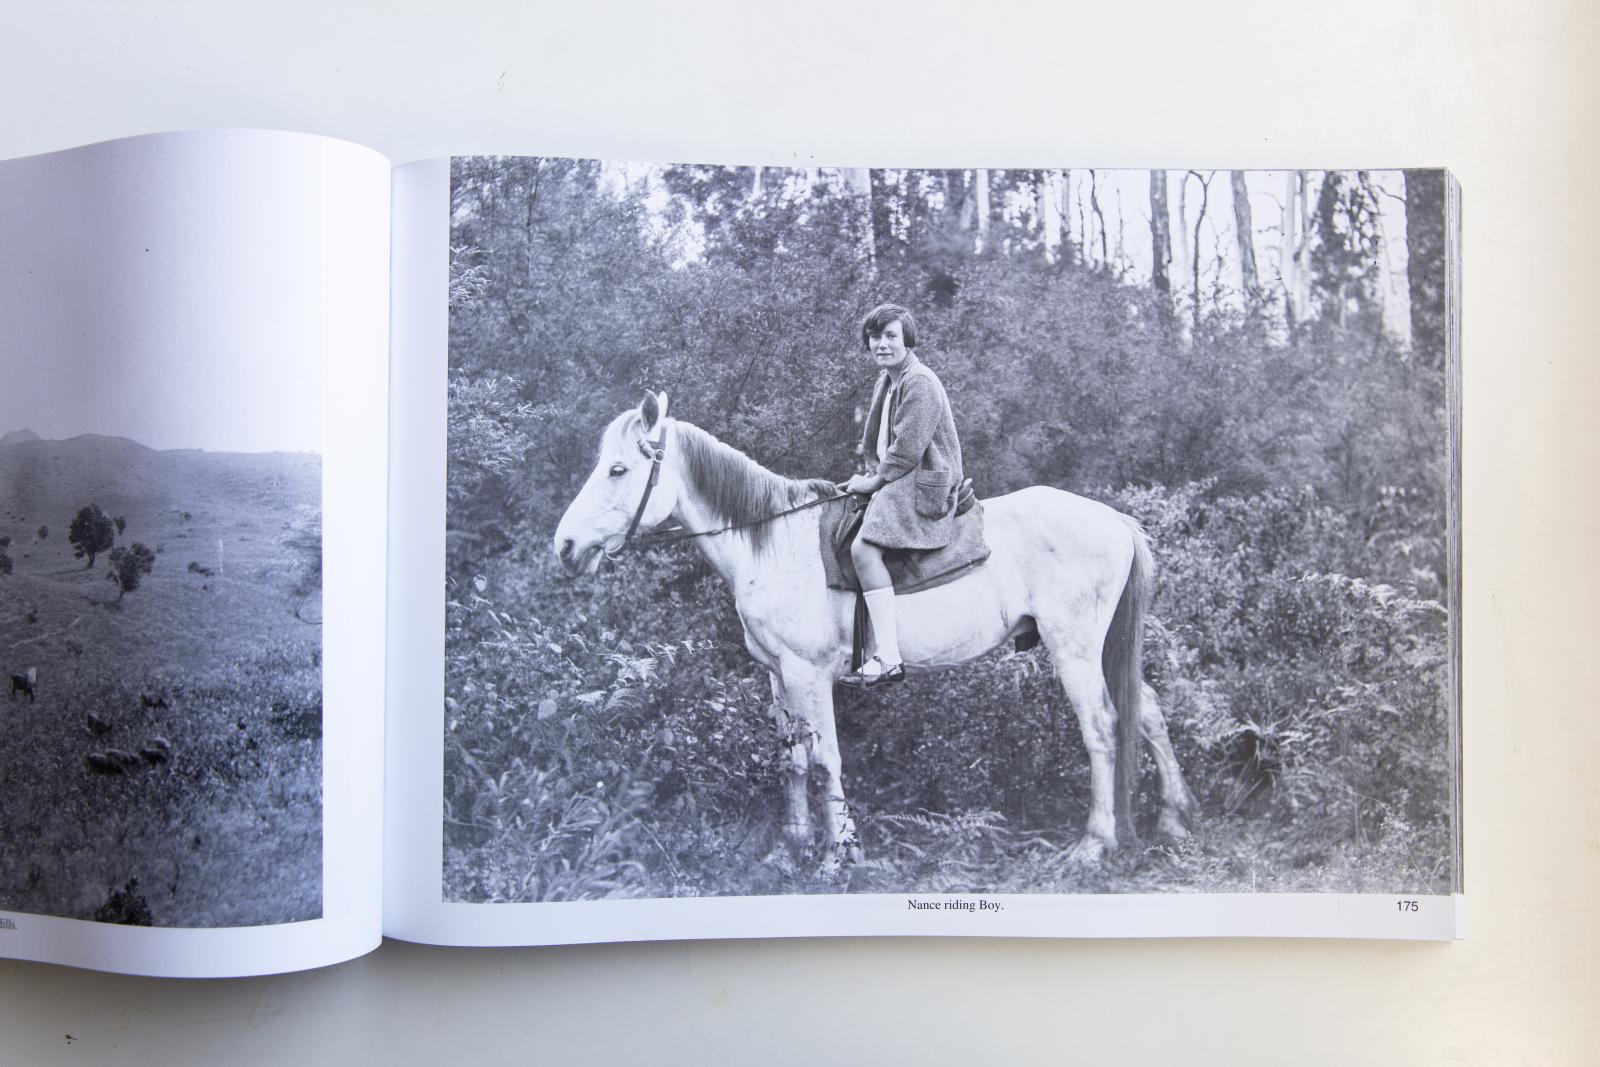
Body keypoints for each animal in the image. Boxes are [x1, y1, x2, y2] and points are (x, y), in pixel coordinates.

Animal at [556, 391, 1196, 870]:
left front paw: (837, 854)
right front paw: (789, 850)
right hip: (1099, 648)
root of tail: (1112, 519)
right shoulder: (777, 677)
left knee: (1103, 727)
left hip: (1074, 649)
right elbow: (791, 761)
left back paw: (1095, 843)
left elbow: (824, 762)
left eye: (618, 469)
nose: (565, 546)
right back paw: (1174, 819)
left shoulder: (809, 676)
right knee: (1147, 710)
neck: (772, 542)